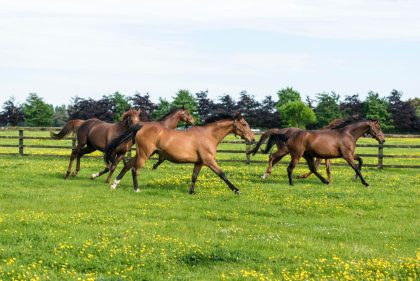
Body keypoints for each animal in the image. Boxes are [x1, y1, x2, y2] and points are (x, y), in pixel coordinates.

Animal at [104, 112, 256, 194]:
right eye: (244, 124)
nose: (253, 139)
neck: (208, 135)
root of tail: (141, 126)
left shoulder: (199, 162)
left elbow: (194, 176)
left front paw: (192, 192)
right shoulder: (209, 161)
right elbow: (222, 174)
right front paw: (236, 190)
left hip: (142, 153)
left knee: (127, 165)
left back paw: (113, 185)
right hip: (144, 153)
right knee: (135, 169)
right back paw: (136, 189)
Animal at [256, 118, 384, 186]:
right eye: (378, 128)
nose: (383, 139)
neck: (348, 135)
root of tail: (290, 134)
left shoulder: (350, 154)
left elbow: (361, 160)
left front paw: (355, 178)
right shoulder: (346, 156)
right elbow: (356, 167)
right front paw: (365, 183)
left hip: (306, 155)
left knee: (312, 168)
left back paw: (325, 181)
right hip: (296, 154)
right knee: (285, 165)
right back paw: (288, 182)